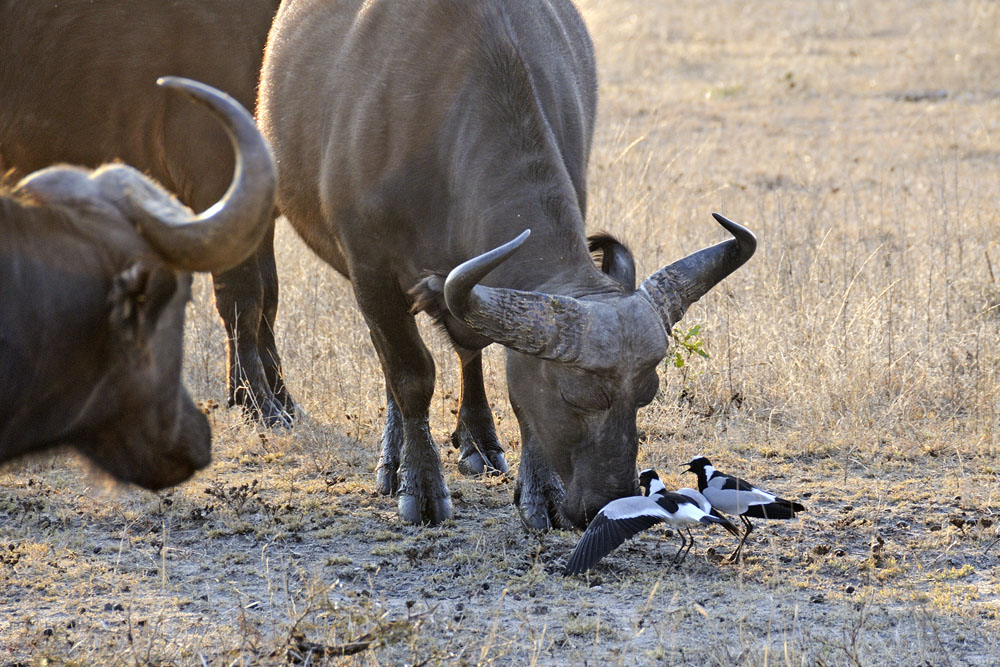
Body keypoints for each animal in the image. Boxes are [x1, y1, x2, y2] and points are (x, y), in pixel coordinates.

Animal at [0, 0, 292, 426]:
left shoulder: (259, 203)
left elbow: (269, 296)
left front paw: (280, 396)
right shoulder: (219, 175)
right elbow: (244, 295)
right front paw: (258, 402)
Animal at [259, 0, 755, 528]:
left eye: (647, 393)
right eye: (573, 396)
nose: (609, 502)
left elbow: (515, 391)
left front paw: (541, 491)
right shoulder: (369, 268)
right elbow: (410, 374)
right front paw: (422, 487)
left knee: (467, 350)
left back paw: (477, 441)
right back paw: (393, 461)